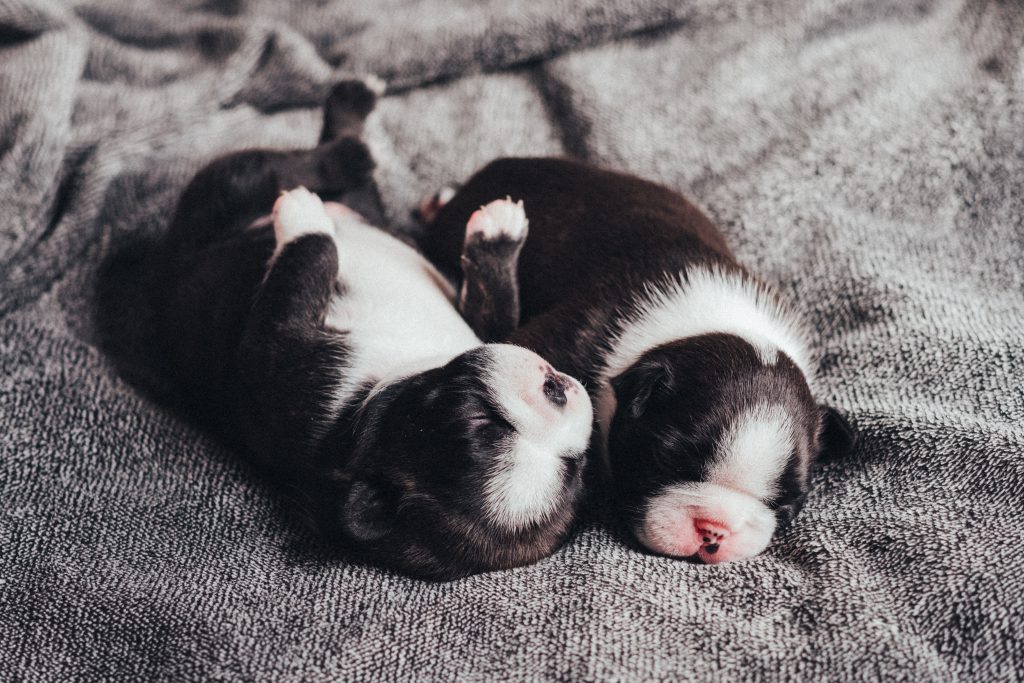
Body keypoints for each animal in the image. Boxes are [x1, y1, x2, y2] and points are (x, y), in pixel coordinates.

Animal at [155, 82, 598, 581]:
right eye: (481, 422)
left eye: (574, 465)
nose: (559, 391)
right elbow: (493, 305)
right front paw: (498, 236)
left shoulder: (275, 357)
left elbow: (308, 261)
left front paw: (303, 220)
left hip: (227, 191)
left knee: (287, 166)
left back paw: (346, 147)